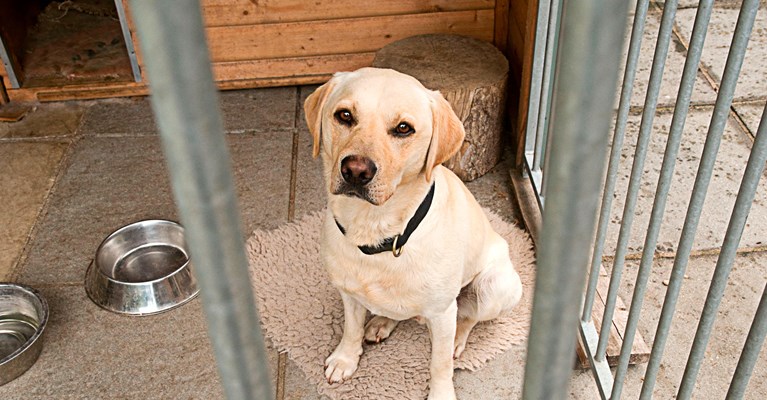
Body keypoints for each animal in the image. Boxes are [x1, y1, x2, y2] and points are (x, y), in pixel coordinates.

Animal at [304, 67, 524, 398]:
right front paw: (345, 359)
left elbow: (439, 364)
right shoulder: (348, 292)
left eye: (403, 128)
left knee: (468, 318)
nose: (355, 171)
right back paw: (381, 322)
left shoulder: (443, 312)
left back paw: (457, 341)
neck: (378, 233)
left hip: (494, 287)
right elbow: (351, 329)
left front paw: (441, 393)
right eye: (344, 115)